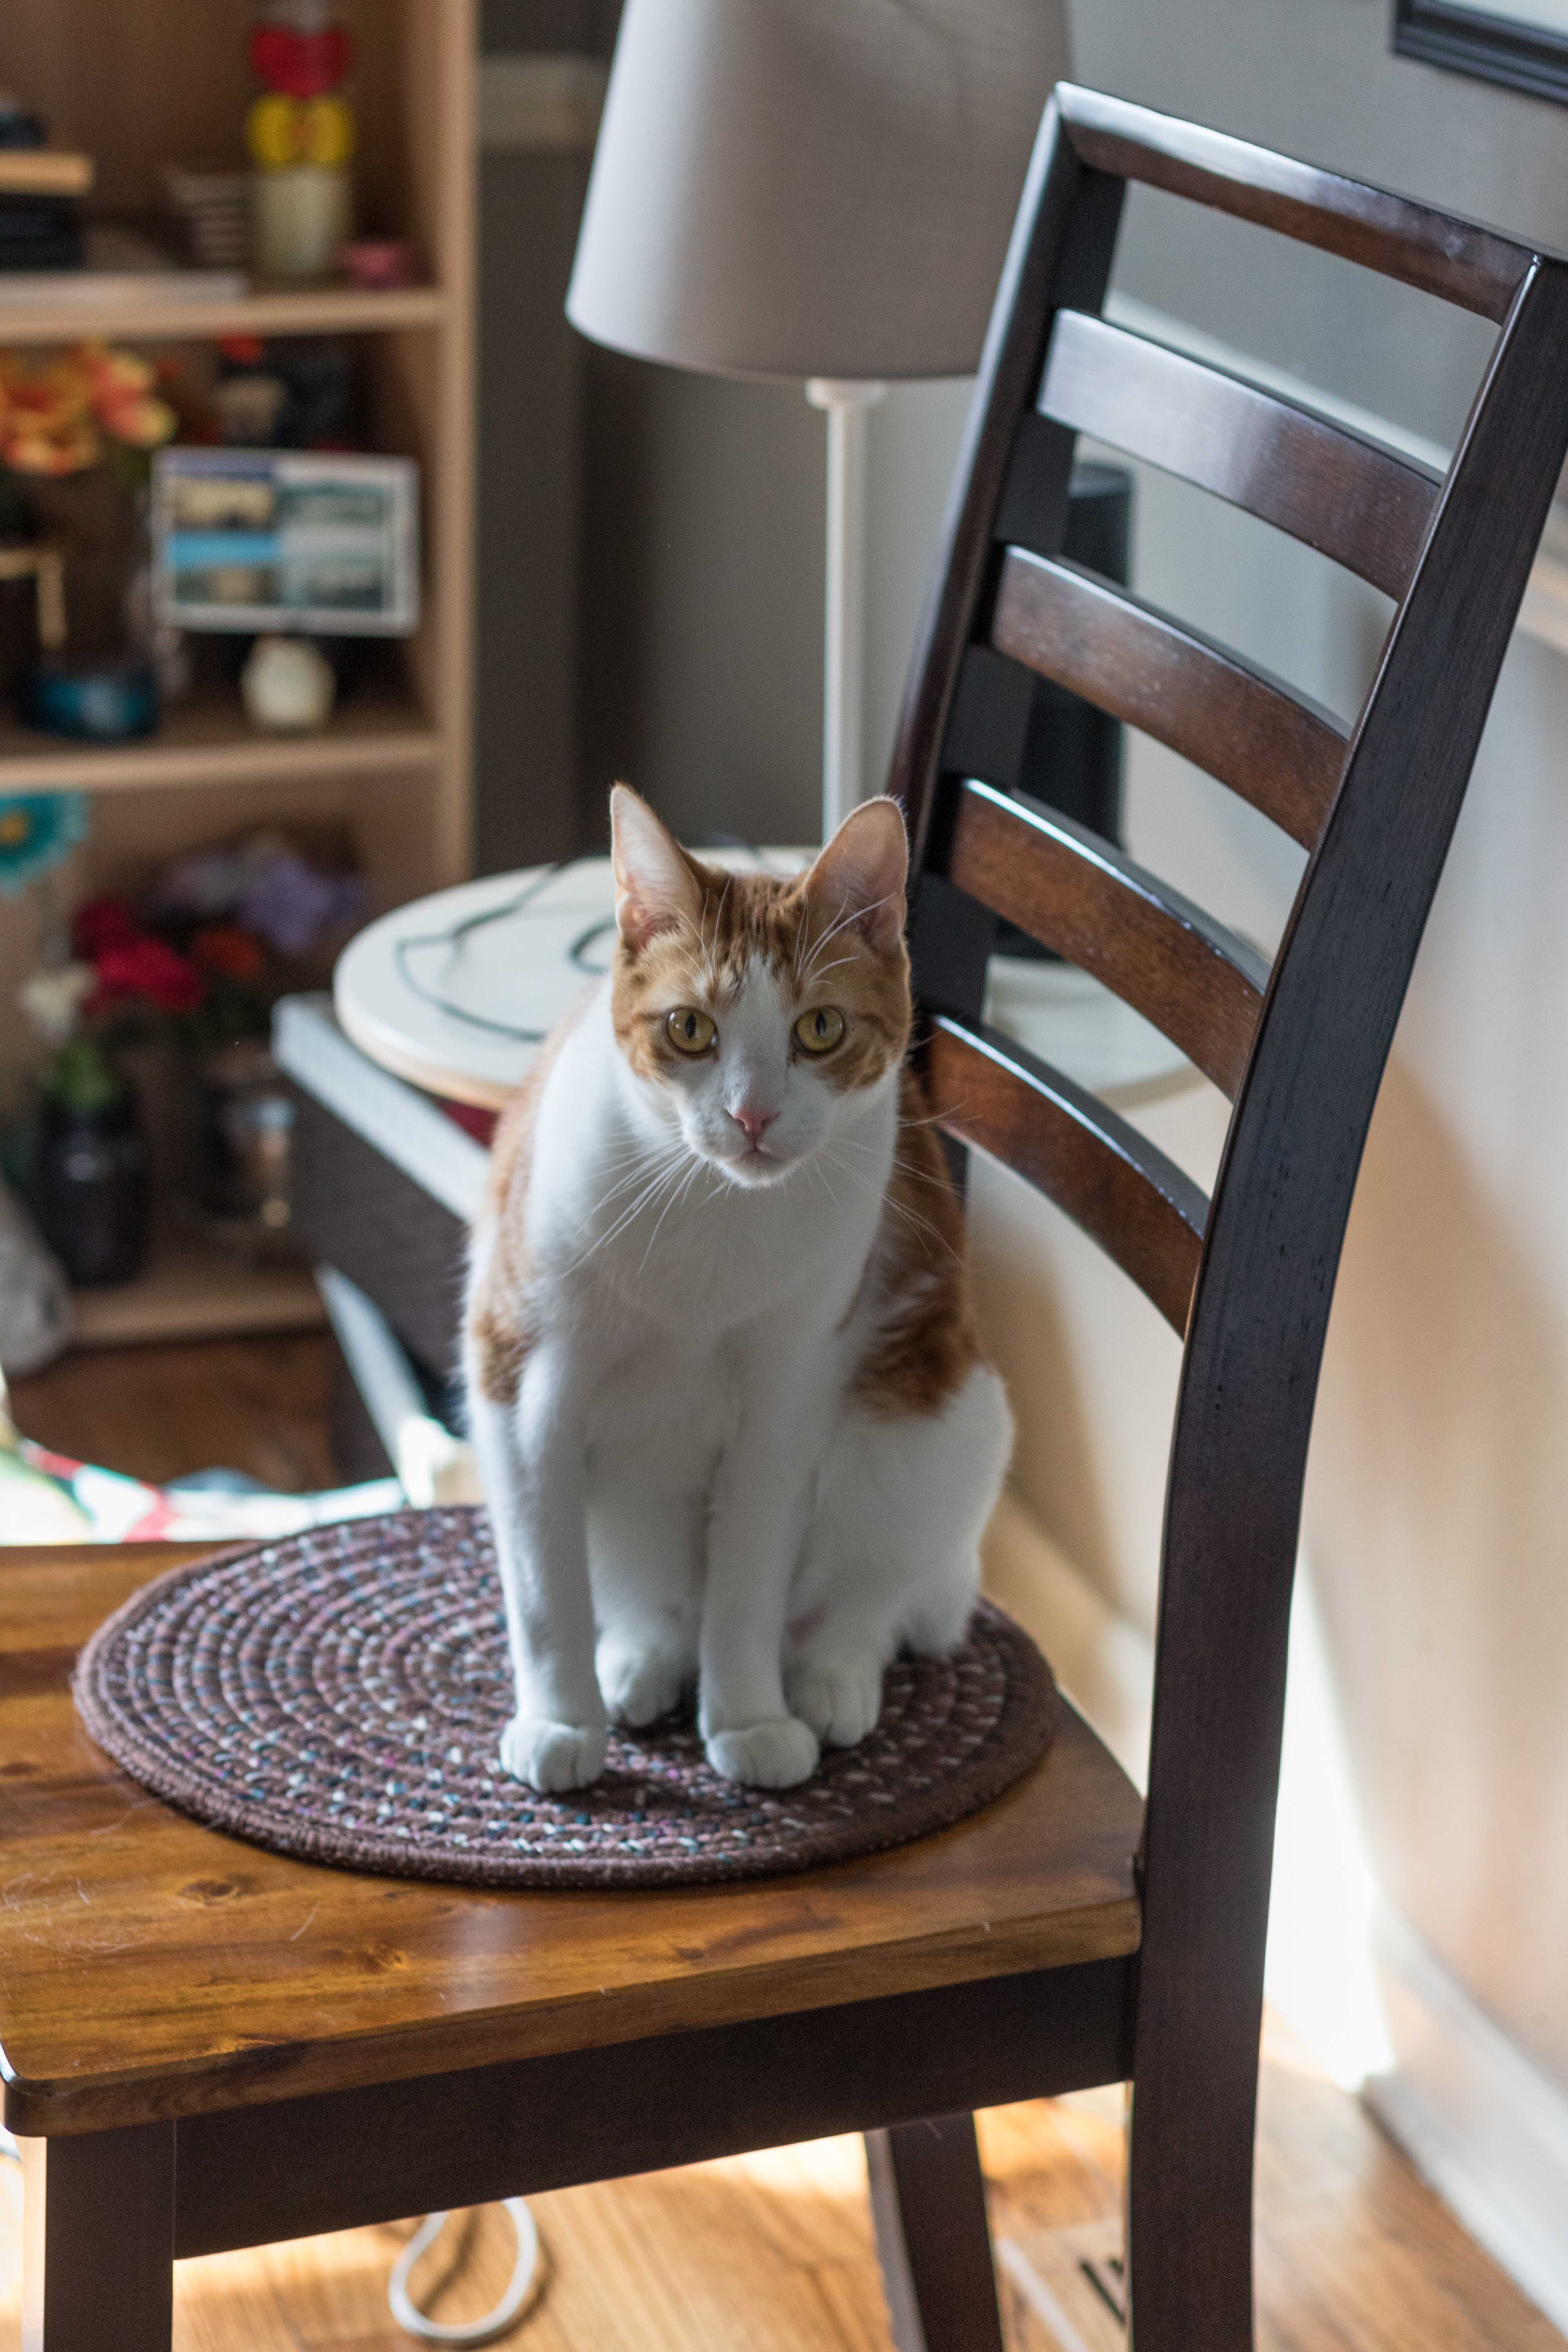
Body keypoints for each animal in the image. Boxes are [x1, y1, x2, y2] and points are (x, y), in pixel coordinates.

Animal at [461, 781, 1011, 1788]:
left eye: (819, 1029)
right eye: (690, 1029)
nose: (751, 1115)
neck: (710, 1208)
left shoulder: (785, 1402)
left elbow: (747, 1586)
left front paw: (751, 1719)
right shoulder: (520, 1384)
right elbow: (546, 1593)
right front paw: (559, 1721)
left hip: (941, 1429)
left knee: (866, 1603)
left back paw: (829, 1680)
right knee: (648, 1604)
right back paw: (637, 1664)